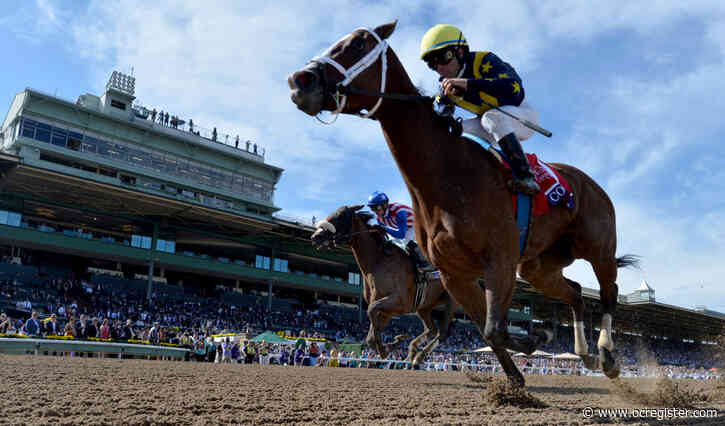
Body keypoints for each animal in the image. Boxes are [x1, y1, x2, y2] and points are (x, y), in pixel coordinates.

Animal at [311, 205, 457, 367]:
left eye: (340, 216)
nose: (316, 236)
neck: (378, 261)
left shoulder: (398, 302)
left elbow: (370, 310)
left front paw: (384, 349)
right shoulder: (387, 309)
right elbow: (370, 336)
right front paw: (394, 343)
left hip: (451, 301)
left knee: (441, 333)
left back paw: (419, 355)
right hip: (424, 306)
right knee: (431, 330)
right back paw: (413, 350)